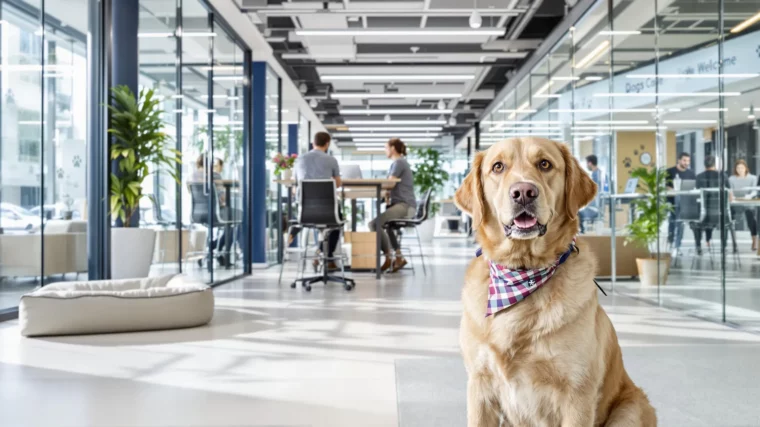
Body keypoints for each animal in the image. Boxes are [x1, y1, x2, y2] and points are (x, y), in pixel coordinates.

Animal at [454, 138, 656, 427]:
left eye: (545, 164)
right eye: (498, 167)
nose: (524, 192)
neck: (523, 275)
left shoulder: (577, 393)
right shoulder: (479, 387)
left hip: (630, 409)